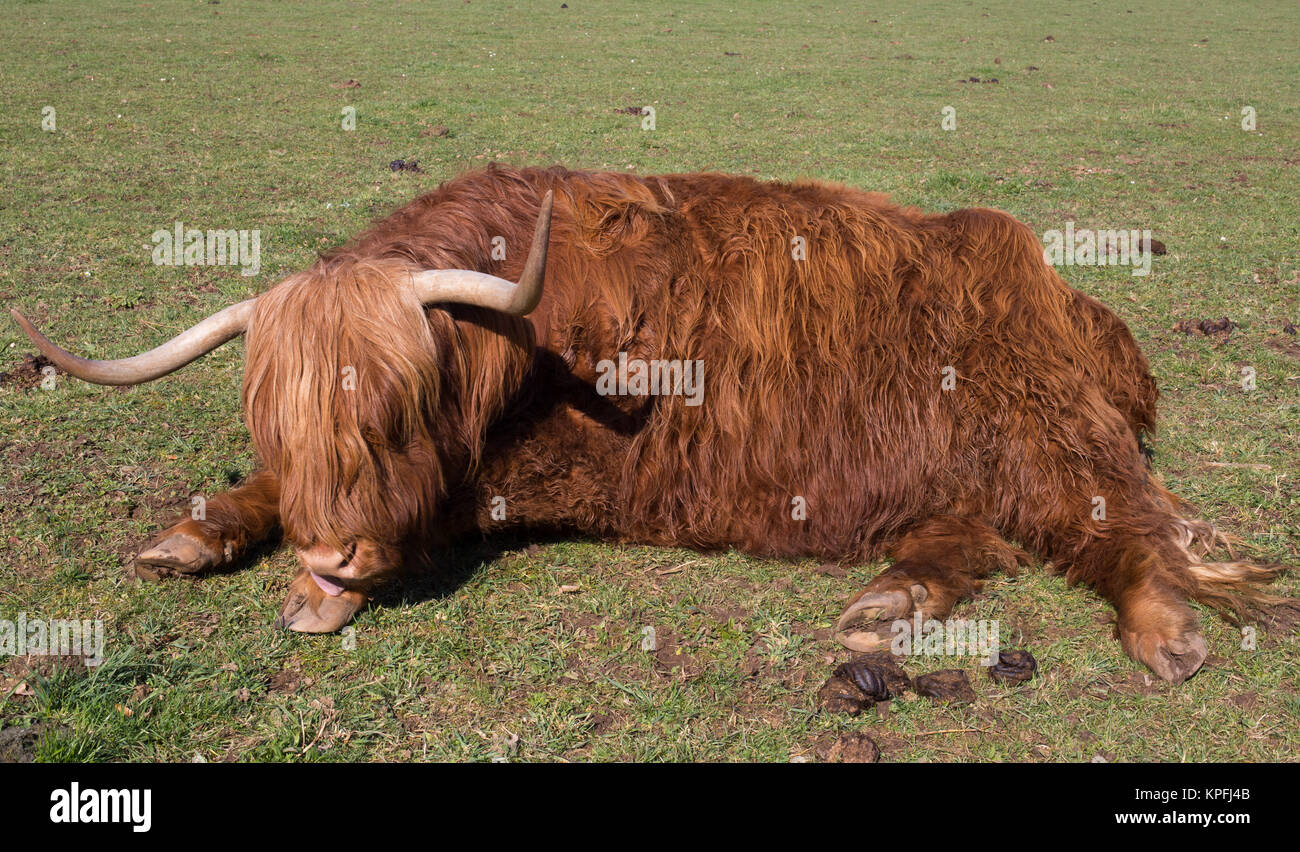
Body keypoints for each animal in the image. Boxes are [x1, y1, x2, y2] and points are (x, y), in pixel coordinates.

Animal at [12, 164, 1286, 683]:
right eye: (275, 415)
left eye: (396, 402)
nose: (335, 554)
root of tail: (1068, 293)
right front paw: (197, 533)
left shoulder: (541, 474)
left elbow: (438, 507)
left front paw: (314, 586)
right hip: (965, 467)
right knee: (976, 535)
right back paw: (886, 604)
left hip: (1041, 431)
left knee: (1122, 528)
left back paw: (1163, 629)